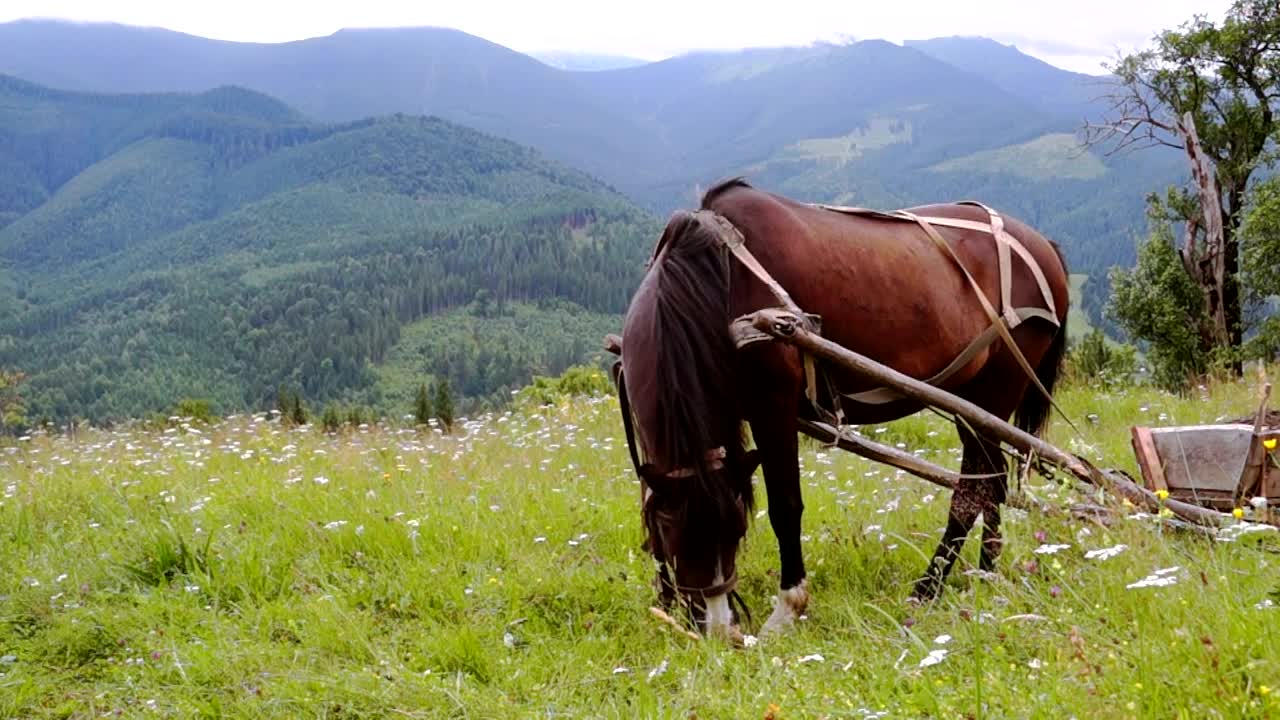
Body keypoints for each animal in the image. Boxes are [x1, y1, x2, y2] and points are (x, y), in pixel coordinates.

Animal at [608, 177, 1070, 640]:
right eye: (673, 534)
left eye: (735, 529)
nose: (717, 631)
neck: (720, 282)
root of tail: (1042, 247)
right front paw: (668, 601)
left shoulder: (773, 403)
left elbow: (785, 506)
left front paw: (787, 609)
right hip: (971, 404)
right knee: (991, 483)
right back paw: (984, 574)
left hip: (996, 391)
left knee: (973, 492)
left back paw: (929, 588)